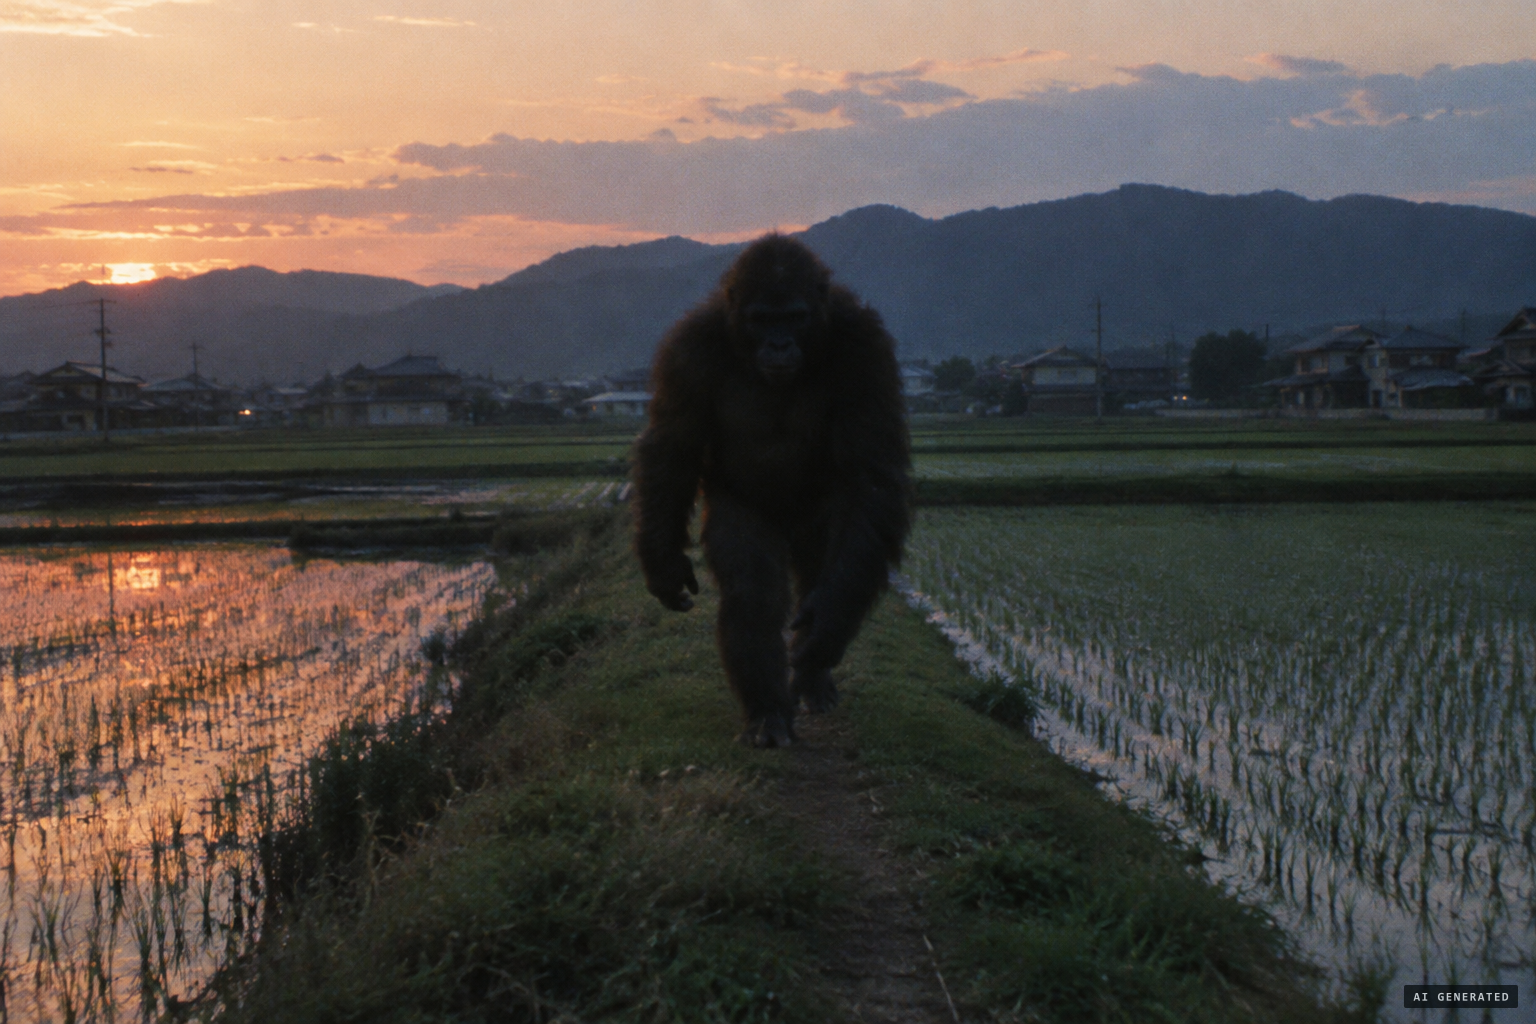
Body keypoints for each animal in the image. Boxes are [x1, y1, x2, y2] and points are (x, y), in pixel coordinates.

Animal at [631, 234, 911, 747]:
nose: (779, 343)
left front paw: (826, 627)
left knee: (826, 563)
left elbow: (871, 471)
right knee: (754, 586)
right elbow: (673, 446)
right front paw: (662, 563)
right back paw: (768, 714)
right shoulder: (687, 352)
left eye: (793, 317)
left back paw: (814, 676)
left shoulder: (866, 348)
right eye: (763, 319)